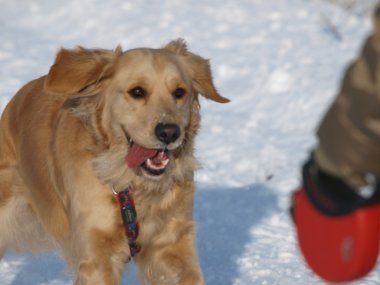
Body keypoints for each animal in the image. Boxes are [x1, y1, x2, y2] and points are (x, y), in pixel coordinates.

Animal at [0, 38, 229, 284]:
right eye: (137, 91)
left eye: (179, 92)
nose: (169, 132)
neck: (131, 184)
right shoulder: (98, 254)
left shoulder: (171, 241)